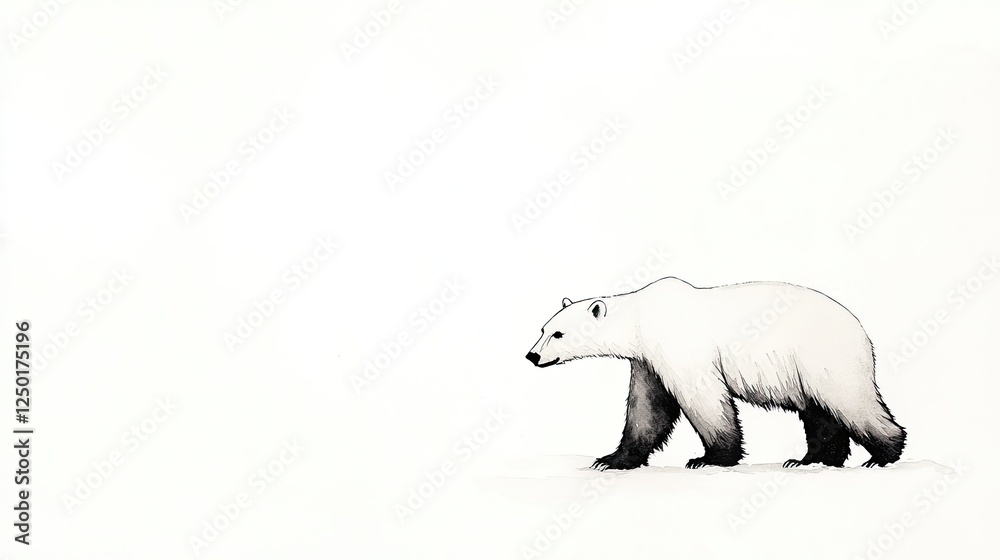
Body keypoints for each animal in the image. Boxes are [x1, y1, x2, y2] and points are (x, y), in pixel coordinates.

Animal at [524, 277, 906, 470]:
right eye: (543, 329)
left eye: (558, 334)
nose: (531, 355)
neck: (643, 317)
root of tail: (861, 330)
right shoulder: (647, 360)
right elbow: (647, 410)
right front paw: (610, 460)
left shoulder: (681, 346)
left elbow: (703, 399)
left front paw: (709, 459)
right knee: (818, 410)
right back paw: (809, 460)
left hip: (821, 355)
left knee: (849, 401)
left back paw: (883, 455)